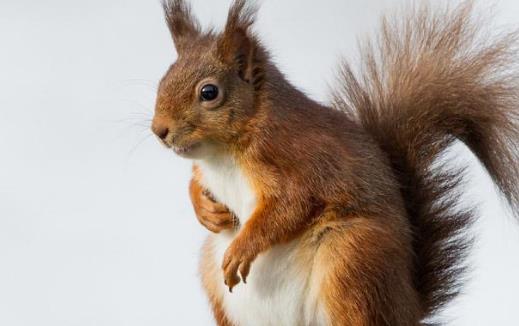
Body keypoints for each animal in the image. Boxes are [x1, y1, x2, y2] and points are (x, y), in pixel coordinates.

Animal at [151, 0, 519, 326]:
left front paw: (244, 247)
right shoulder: (207, 170)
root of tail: (408, 308)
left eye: (209, 92)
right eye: (163, 79)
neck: (222, 154)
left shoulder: (296, 159)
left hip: (350, 260)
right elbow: (196, 183)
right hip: (215, 278)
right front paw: (206, 211)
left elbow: (292, 205)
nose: (159, 131)